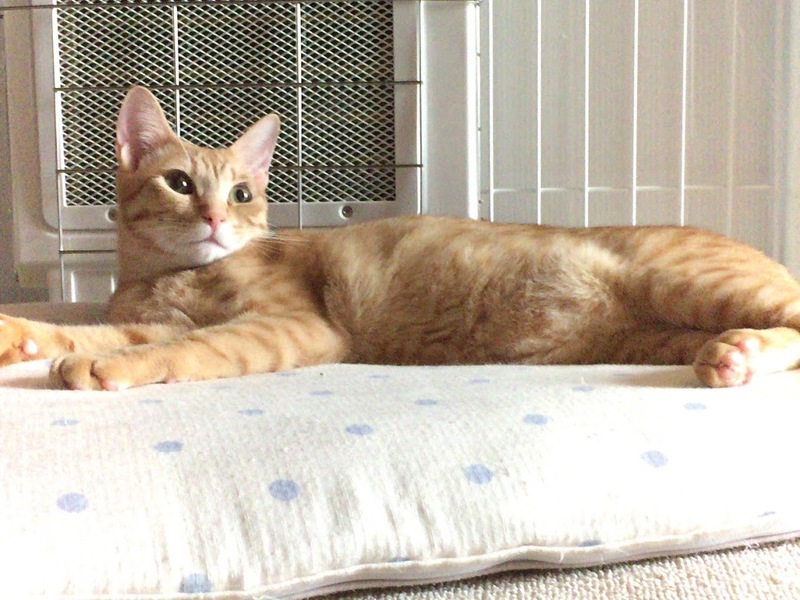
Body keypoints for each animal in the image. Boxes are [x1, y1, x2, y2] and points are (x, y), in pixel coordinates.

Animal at [2, 85, 800, 391]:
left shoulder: (294, 326)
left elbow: (190, 349)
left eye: (242, 193)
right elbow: (83, 332)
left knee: (793, 319)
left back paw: (736, 352)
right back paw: (732, 356)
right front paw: (26, 339)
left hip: (685, 281)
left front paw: (112, 370)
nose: (215, 220)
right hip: (657, 333)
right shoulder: (145, 319)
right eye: (178, 182)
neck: (168, 275)